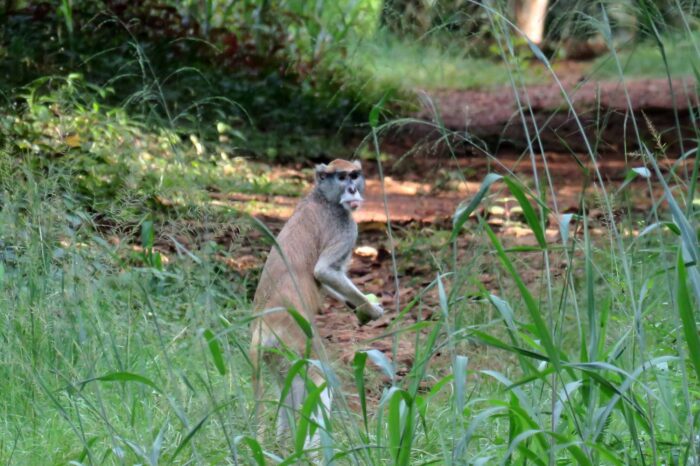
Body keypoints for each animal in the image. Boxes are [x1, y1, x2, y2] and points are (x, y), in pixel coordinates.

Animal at [250, 159, 384, 453]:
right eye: (342, 177)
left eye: (354, 175)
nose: (352, 189)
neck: (321, 196)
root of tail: (264, 325)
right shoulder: (344, 225)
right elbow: (324, 272)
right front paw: (371, 309)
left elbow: (325, 279)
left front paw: (360, 309)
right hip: (298, 340)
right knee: (320, 378)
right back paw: (313, 452)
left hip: (277, 353)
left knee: (289, 383)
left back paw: (283, 445)